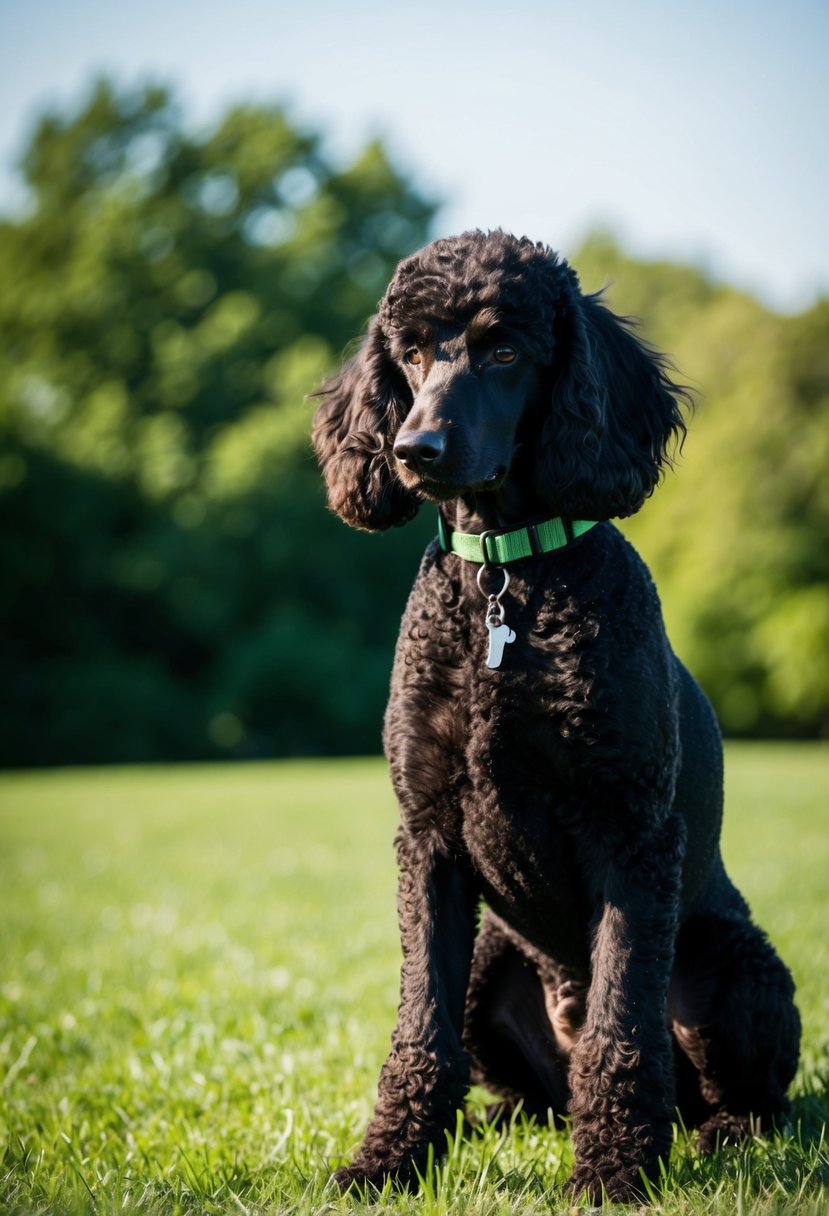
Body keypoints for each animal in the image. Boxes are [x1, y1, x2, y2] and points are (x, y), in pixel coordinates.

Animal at [308, 229, 792, 1206]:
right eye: (407, 353)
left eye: (503, 351)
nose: (414, 447)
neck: (507, 580)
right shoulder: (429, 838)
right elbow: (418, 1030)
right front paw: (388, 1162)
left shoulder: (631, 834)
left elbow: (621, 1028)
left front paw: (612, 1174)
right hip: (492, 959)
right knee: (527, 1089)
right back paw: (496, 1124)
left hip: (727, 972)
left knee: (744, 1095)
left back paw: (715, 1135)